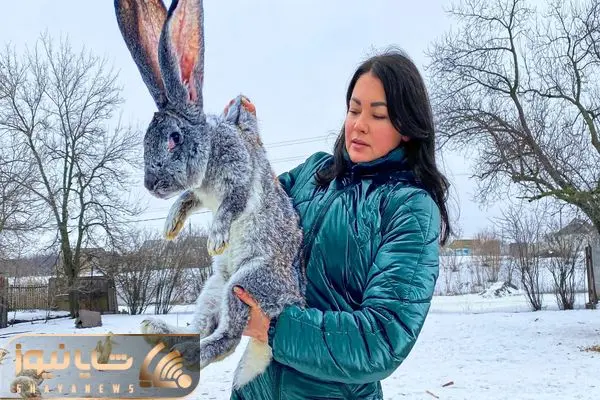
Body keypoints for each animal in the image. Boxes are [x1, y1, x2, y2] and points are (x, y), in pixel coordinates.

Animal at [114, 0, 306, 390]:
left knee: (226, 339)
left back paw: (185, 353)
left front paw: (216, 240)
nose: (151, 185)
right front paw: (171, 227)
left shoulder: (239, 179)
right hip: (213, 288)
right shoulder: (200, 195)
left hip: (244, 283)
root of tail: (292, 299)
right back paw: (158, 330)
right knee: (202, 326)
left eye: (174, 138)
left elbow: (231, 206)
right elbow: (187, 200)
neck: (211, 147)